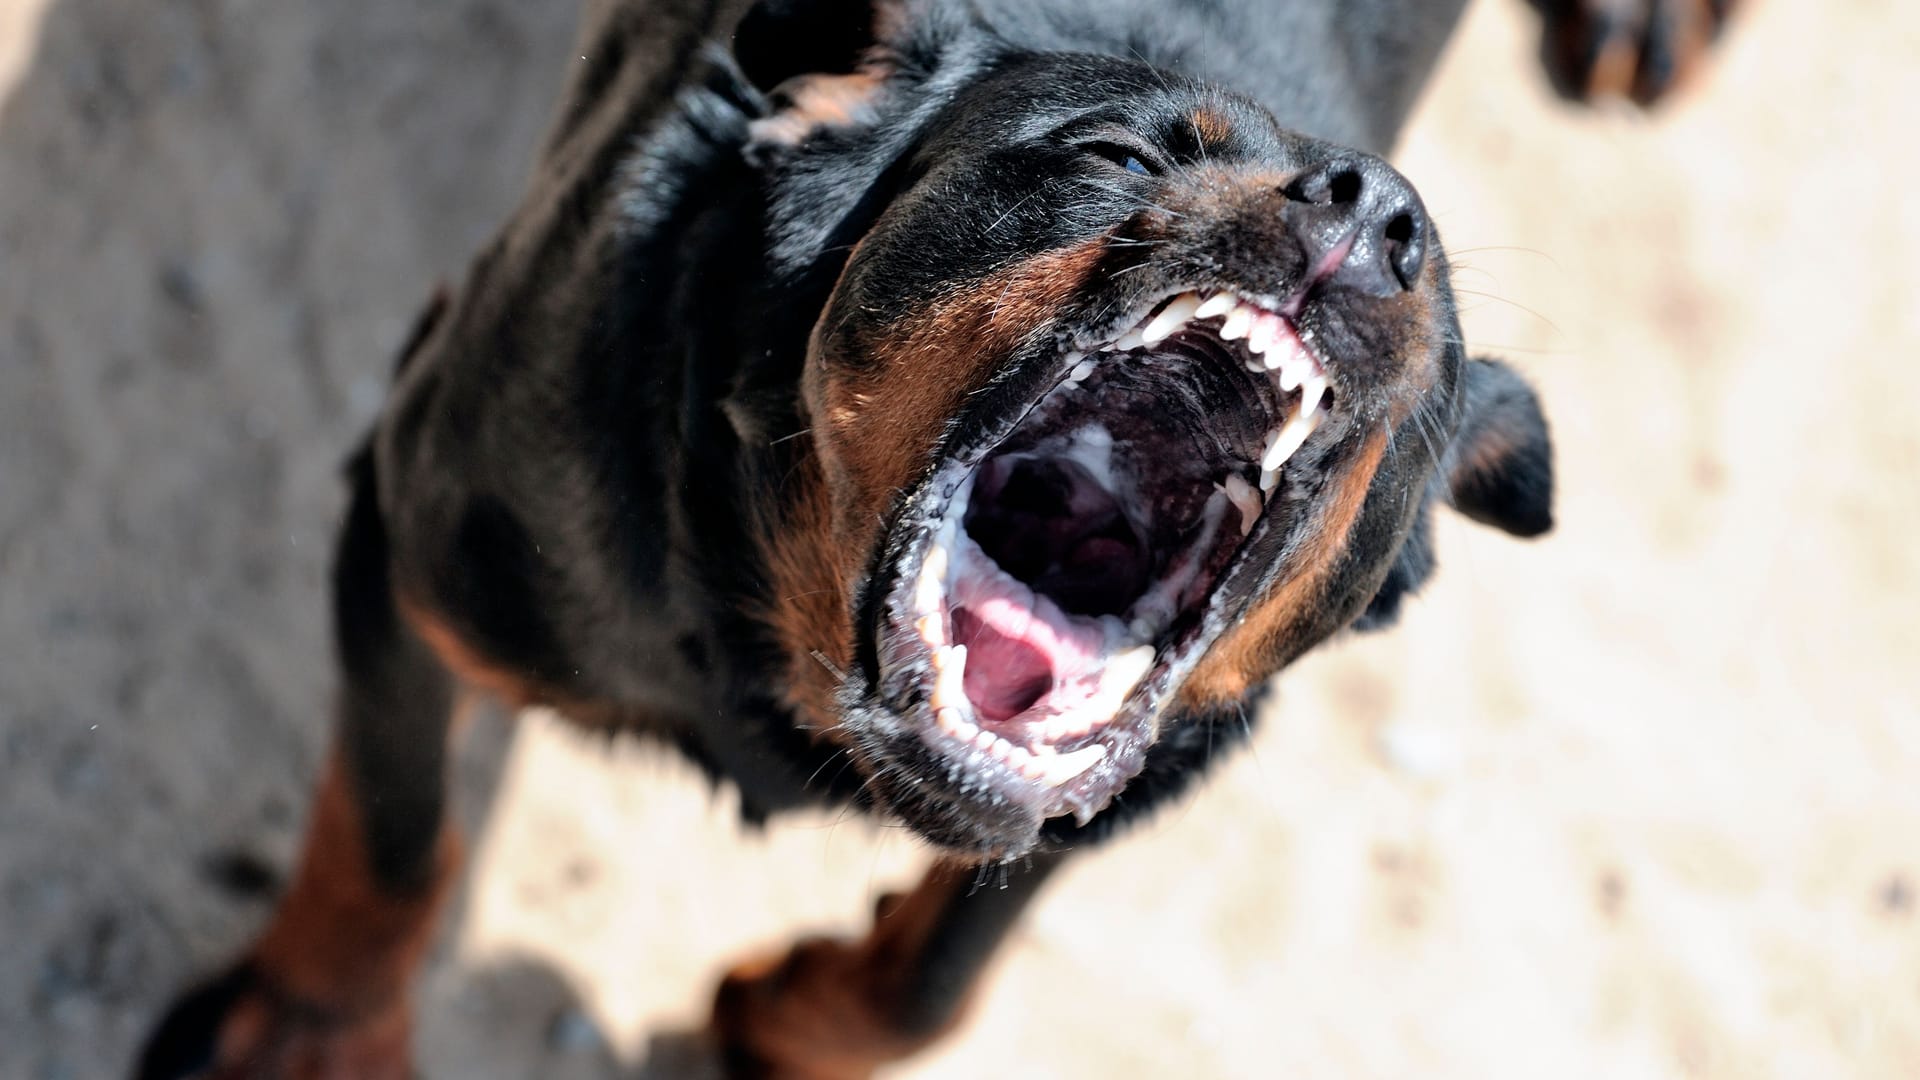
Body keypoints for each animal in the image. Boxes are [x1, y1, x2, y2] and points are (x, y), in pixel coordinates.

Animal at [139, 0, 1728, 1068]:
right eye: (1108, 155)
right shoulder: (419, 538)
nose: (1375, 205)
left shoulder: (1143, 775)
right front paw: (312, 1034)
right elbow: (395, 834)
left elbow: (937, 978)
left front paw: (792, 1021)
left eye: (1446, 352)